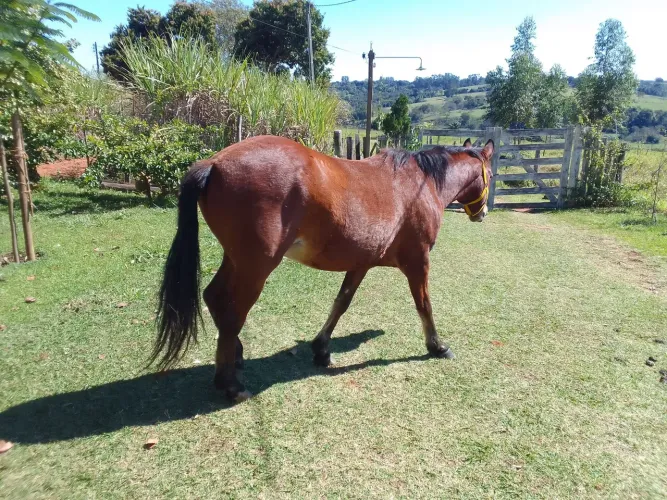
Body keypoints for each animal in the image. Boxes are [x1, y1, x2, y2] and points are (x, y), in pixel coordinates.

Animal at [151, 135, 494, 402]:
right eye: (490, 173)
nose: (483, 213)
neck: (419, 183)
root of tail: (214, 163)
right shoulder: (418, 261)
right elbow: (424, 304)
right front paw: (437, 345)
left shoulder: (361, 263)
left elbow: (341, 302)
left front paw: (321, 348)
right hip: (255, 268)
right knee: (233, 311)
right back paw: (230, 384)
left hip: (235, 260)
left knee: (214, 297)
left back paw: (234, 354)